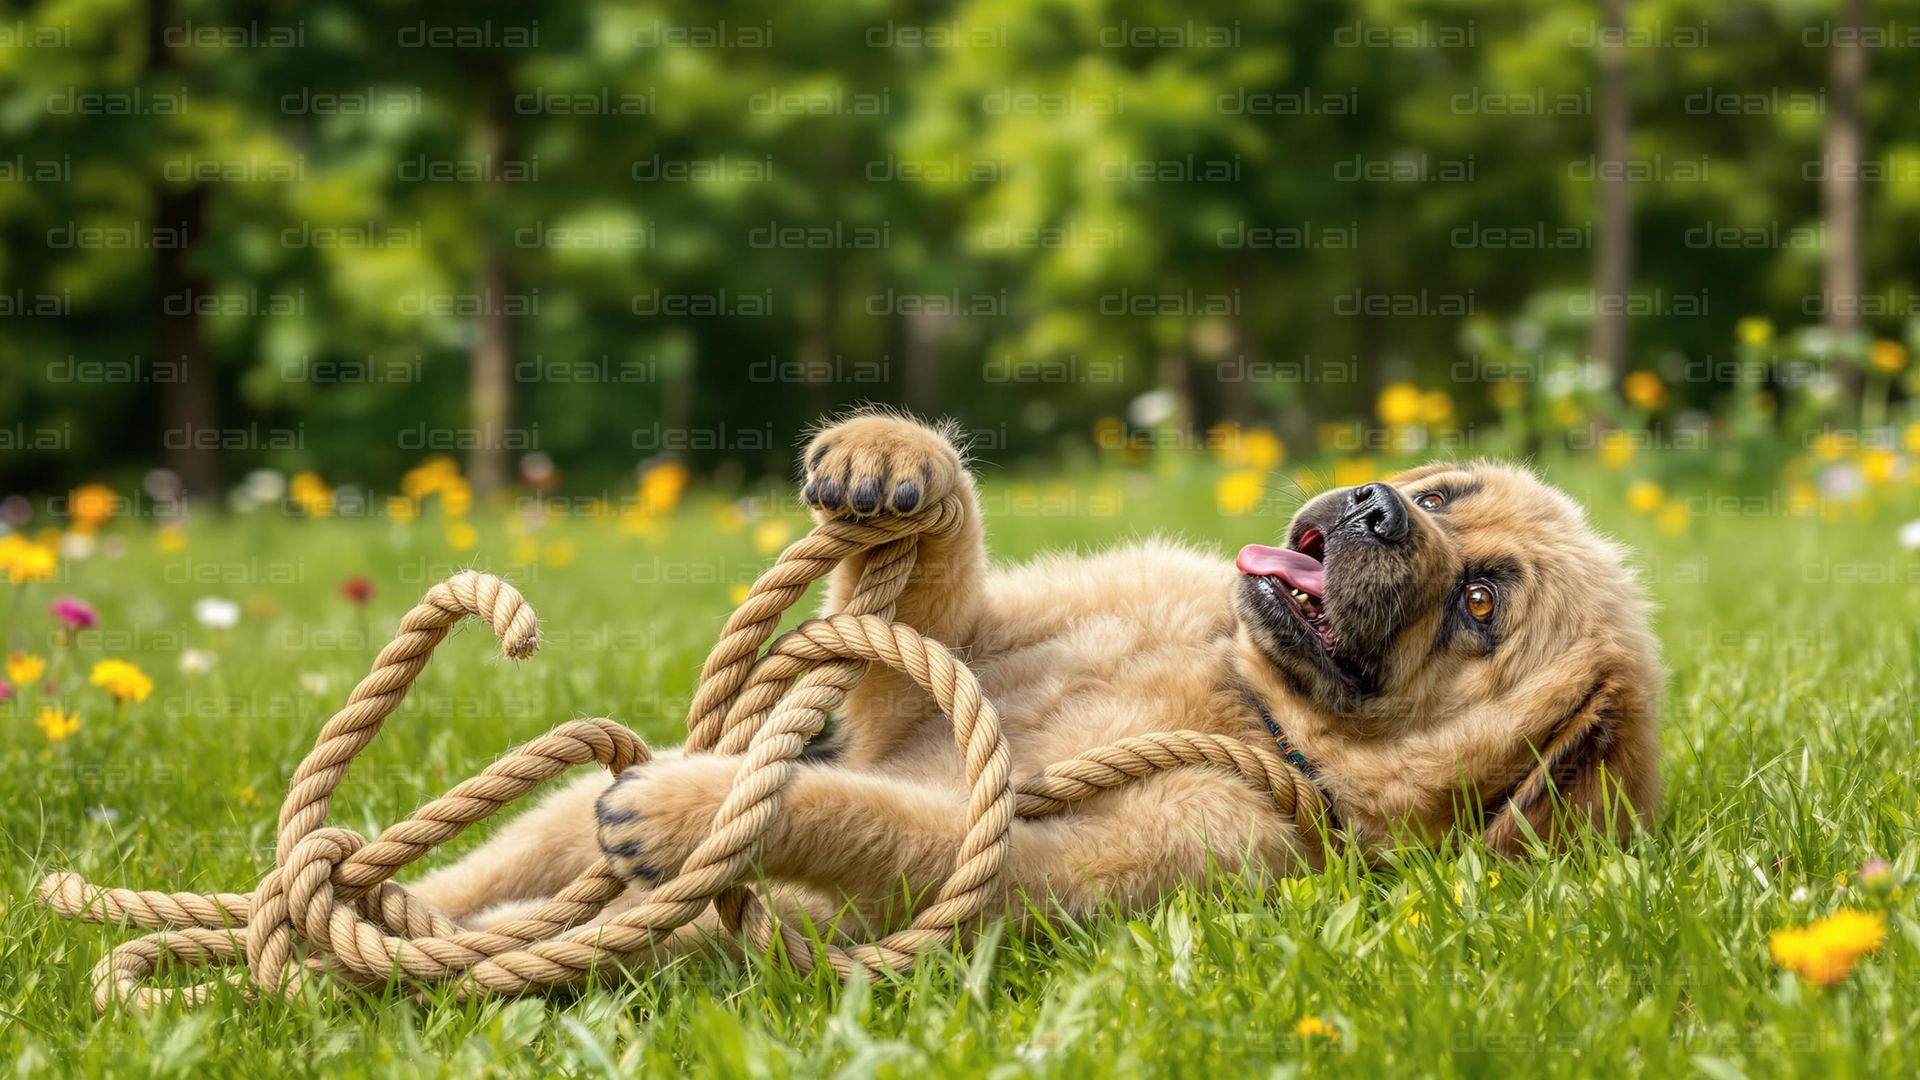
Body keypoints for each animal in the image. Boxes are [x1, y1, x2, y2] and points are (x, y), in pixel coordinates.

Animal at [408, 411, 1666, 941]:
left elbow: (883, 817)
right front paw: (894, 454)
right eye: (1446, 494)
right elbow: (940, 587)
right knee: (493, 867)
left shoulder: (1114, 852)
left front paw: (708, 812)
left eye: (1481, 605)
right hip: (552, 821)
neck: (1248, 700)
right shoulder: (963, 654)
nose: (1376, 506)